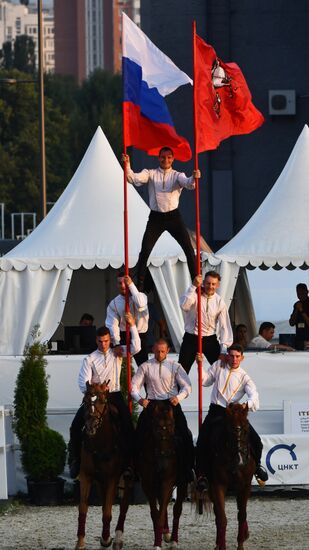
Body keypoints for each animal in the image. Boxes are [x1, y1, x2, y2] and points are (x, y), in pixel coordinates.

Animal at [76, 384, 132, 550]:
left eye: (102, 400)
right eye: (85, 400)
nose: (91, 426)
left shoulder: (113, 478)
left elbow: (108, 512)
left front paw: (107, 539)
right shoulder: (86, 476)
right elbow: (83, 509)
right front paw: (80, 542)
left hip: (127, 478)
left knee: (124, 506)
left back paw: (118, 539)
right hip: (101, 481)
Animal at [137, 402, 188, 550]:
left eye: (172, 424)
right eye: (155, 425)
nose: (166, 454)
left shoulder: (167, 481)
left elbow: (161, 514)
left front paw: (159, 542)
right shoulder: (148, 484)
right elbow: (156, 514)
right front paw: (157, 542)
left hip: (182, 484)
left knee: (177, 510)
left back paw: (174, 540)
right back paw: (166, 533)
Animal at [195, 404, 255, 550]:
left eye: (246, 430)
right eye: (230, 430)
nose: (241, 461)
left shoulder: (245, 486)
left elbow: (242, 515)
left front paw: (241, 544)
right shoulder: (218, 486)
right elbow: (222, 518)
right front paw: (221, 546)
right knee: (218, 514)